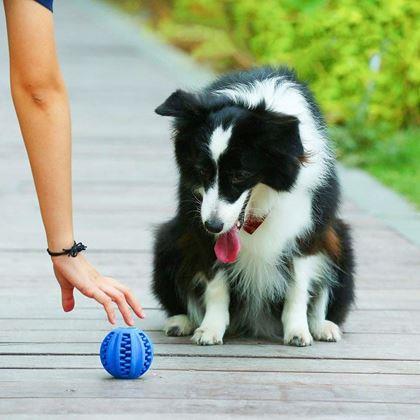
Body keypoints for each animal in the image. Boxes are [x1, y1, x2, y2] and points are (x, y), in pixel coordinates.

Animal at [151, 67, 354, 346]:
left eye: (239, 175)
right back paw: (181, 321)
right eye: (202, 170)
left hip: (340, 240)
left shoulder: (307, 227)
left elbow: (298, 284)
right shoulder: (197, 223)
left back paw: (322, 325)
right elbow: (216, 282)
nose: (213, 226)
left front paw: (298, 331)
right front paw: (210, 328)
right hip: (169, 240)